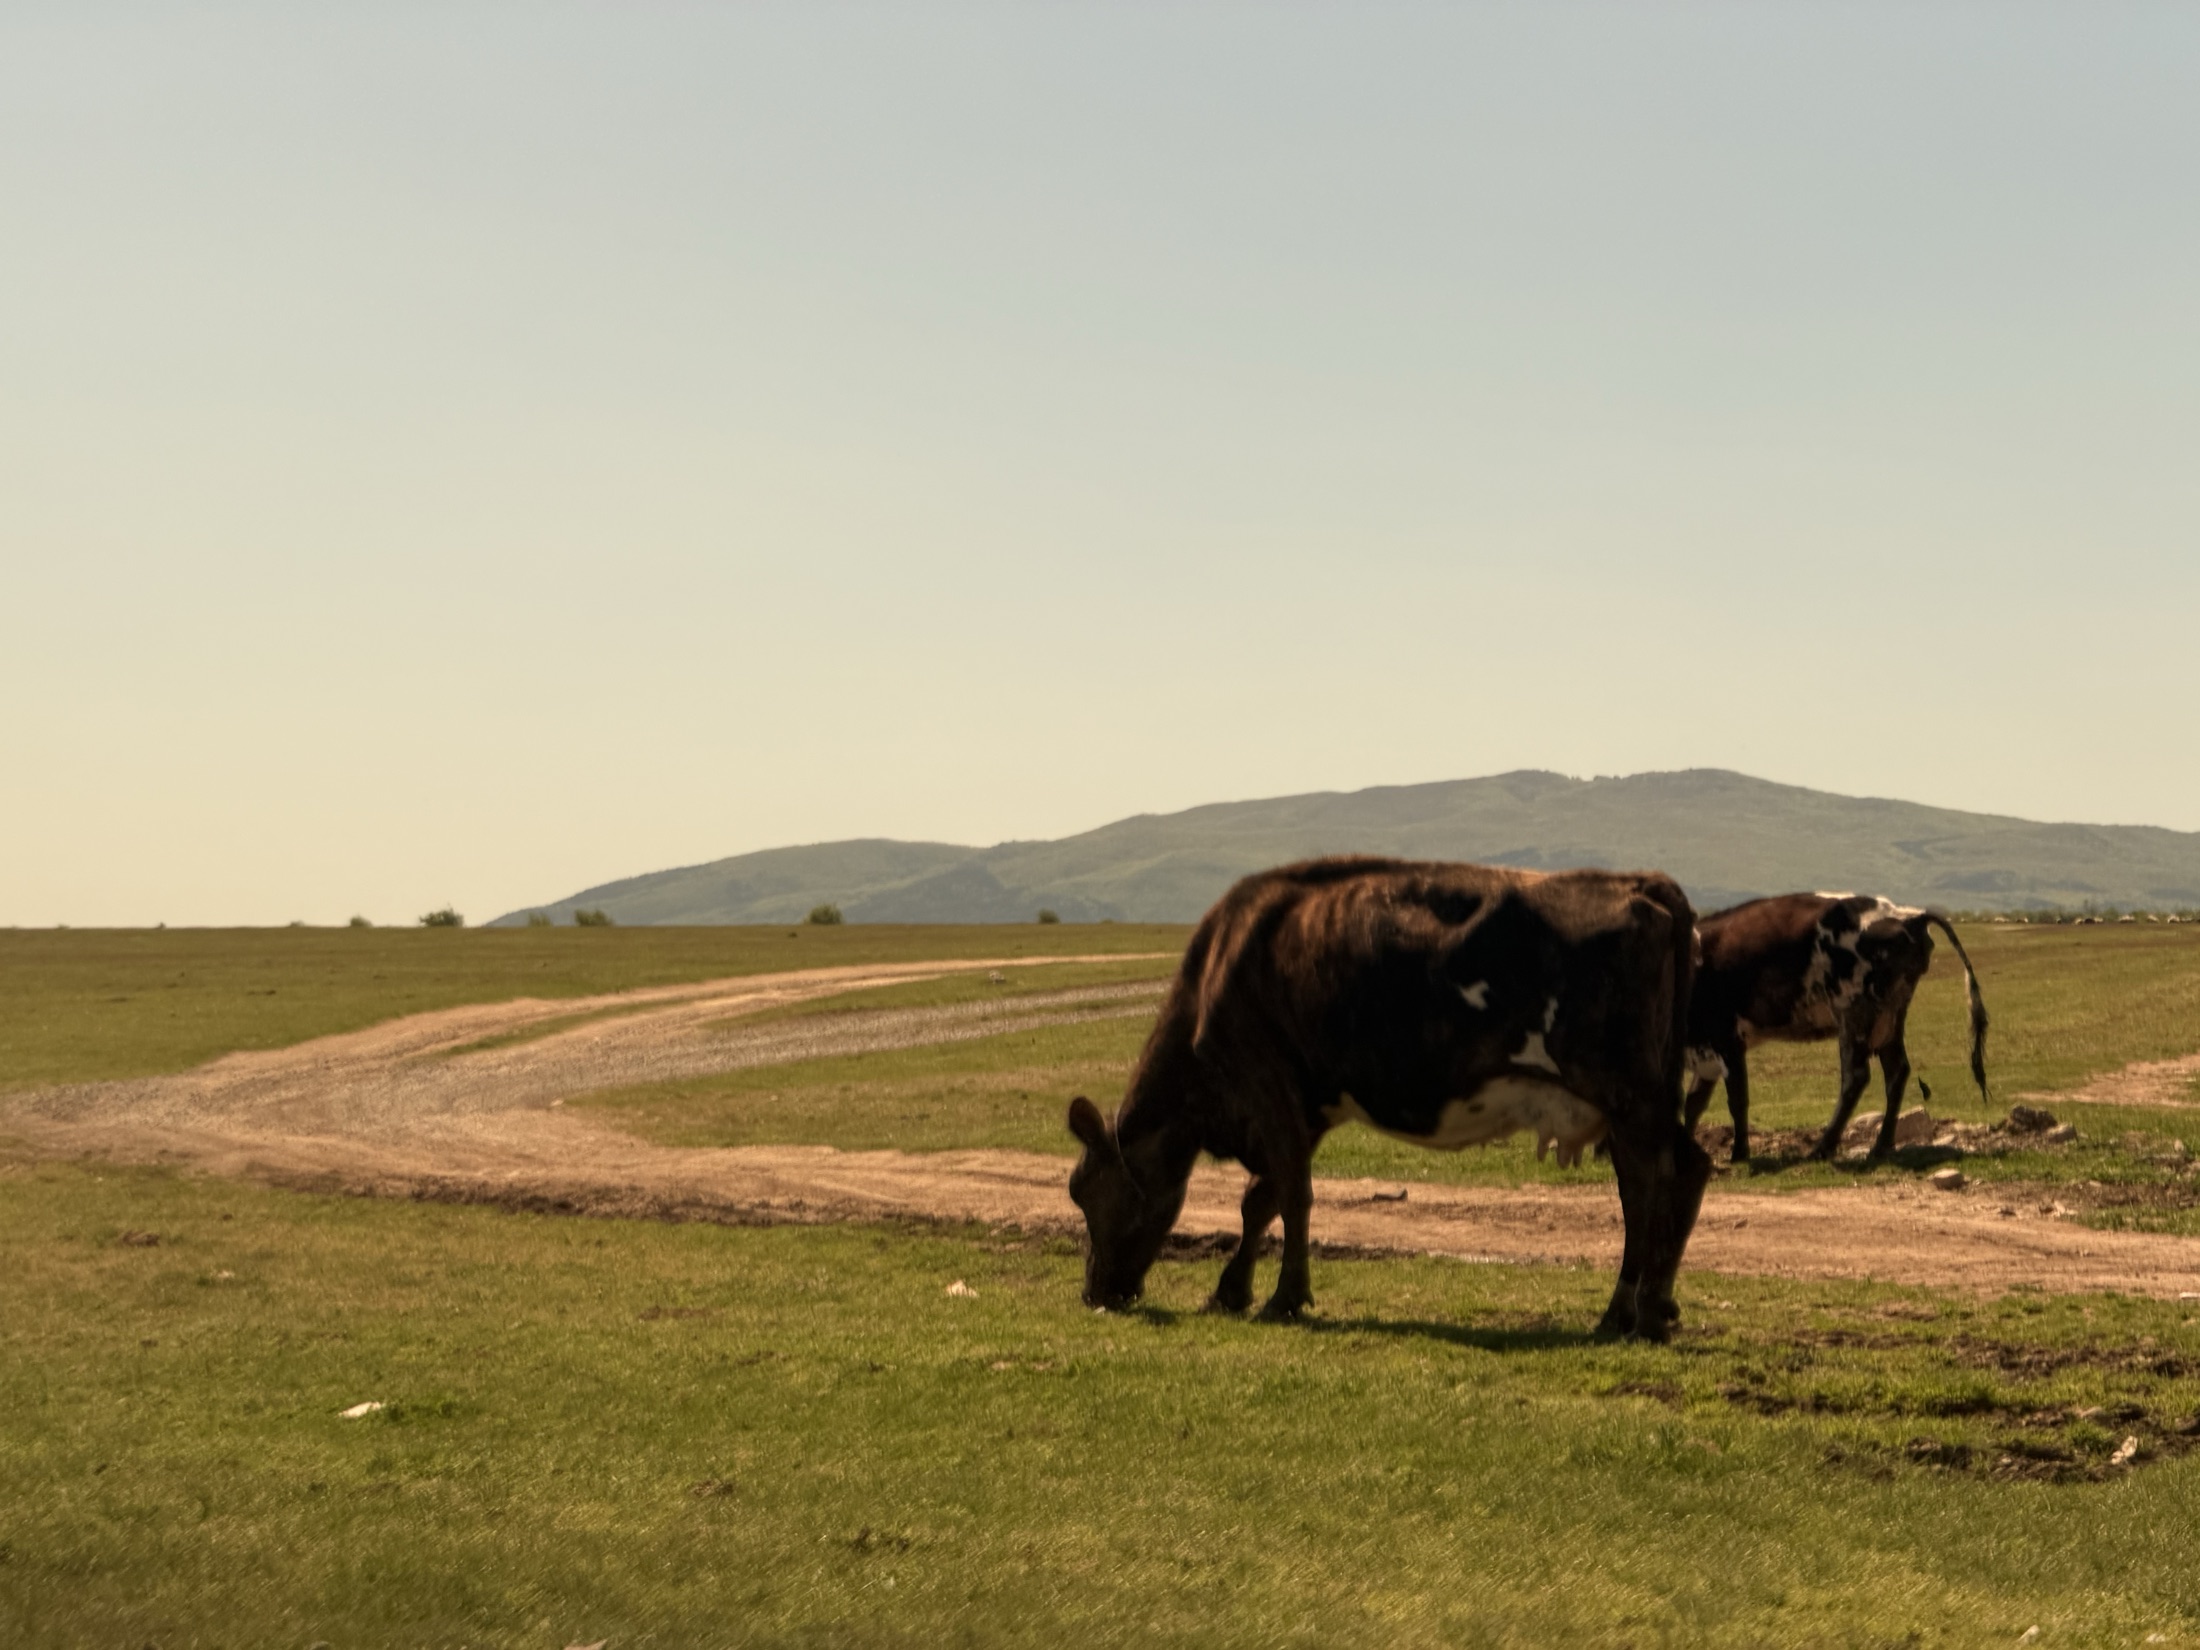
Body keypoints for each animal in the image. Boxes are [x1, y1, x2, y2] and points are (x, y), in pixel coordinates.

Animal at [1064, 857, 1710, 1342]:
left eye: (1084, 1191)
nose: (1094, 1294)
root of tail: (1643, 882)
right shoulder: (1308, 1103)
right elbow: (1262, 1199)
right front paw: (1231, 1291)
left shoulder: (1265, 1079)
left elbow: (1291, 1196)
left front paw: (1284, 1297)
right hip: (1642, 1098)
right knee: (1680, 1172)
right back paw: (1645, 1309)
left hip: (1627, 1091)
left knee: (1652, 1183)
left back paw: (1631, 1313)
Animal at [1683, 893, 1990, 1164]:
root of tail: (1907, 915)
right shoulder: (1705, 1050)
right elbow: (1693, 1103)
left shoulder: (1726, 1038)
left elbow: (1736, 1099)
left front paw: (1739, 1154)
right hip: (1889, 1017)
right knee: (1896, 1072)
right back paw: (1880, 1146)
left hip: (1854, 1013)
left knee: (1856, 1077)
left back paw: (1822, 1148)